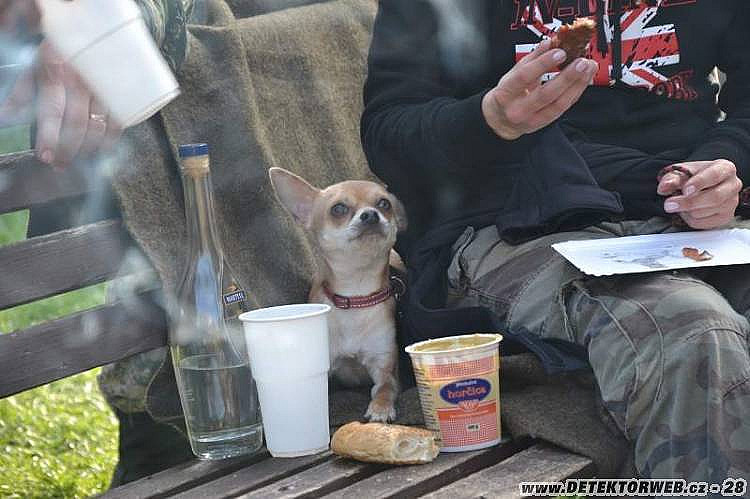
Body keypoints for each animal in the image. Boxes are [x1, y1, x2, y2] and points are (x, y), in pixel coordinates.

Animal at [269, 167, 406, 422]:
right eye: (338, 208)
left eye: (384, 204)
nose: (371, 215)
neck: (356, 296)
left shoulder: (385, 366)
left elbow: (385, 387)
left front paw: (380, 408)